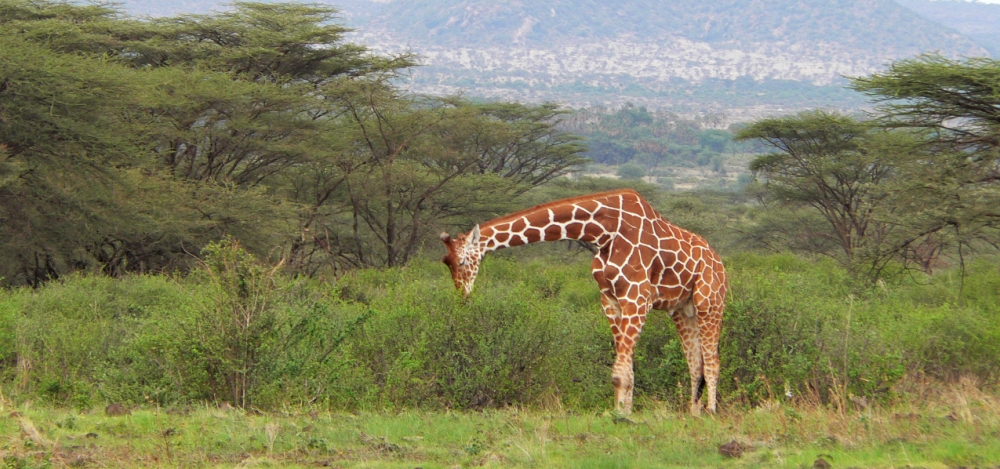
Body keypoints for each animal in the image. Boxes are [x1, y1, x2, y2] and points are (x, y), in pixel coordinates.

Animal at [440, 186, 728, 414]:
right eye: (447, 264)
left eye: (463, 262)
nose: (463, 297)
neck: (603, 232)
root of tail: (719, 261)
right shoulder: (610, 300)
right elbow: (626, 370)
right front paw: (623, 411)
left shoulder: (637, 297)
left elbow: (620, 372)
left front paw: (622, 417)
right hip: (682, 310)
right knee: (695, 364)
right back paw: (693, 413)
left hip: (710, 302)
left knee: (712, 362)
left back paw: (711, 413)